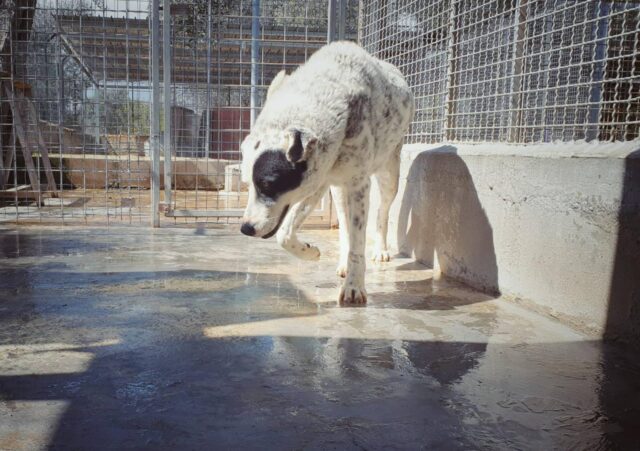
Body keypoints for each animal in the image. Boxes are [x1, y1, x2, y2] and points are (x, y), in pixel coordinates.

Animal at [240, 42, 416, 306]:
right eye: (247, 185)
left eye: (269, 184)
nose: (246, 229)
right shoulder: (318, 181)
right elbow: (285, 234)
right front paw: (311, 252)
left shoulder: (358, 185)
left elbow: (358, 243)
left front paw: (354, 287)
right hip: (338, 190)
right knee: (344, 225)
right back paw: (342, 262)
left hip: (388, 174)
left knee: (382, 212)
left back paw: (380, 249)